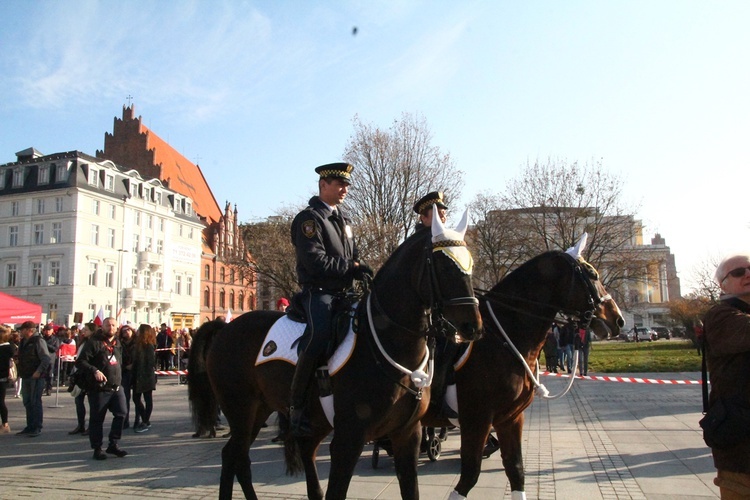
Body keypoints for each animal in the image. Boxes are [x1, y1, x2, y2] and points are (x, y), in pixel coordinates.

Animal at [187, 209, 482, 498]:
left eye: (470, 265)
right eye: (445, 266)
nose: (474, 326)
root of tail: (225, 328)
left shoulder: (407, 435)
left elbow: (411, 489)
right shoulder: (348, 439)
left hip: (261, 410)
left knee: (238, 457)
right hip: (241, 410)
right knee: (234, 455)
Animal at [424, 234, 628, 500]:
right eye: (592, 274)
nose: (618, 320)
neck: (502, 338)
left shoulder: (510, 418)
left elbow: (516, 470)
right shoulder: (477, 419)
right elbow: (469, 475)